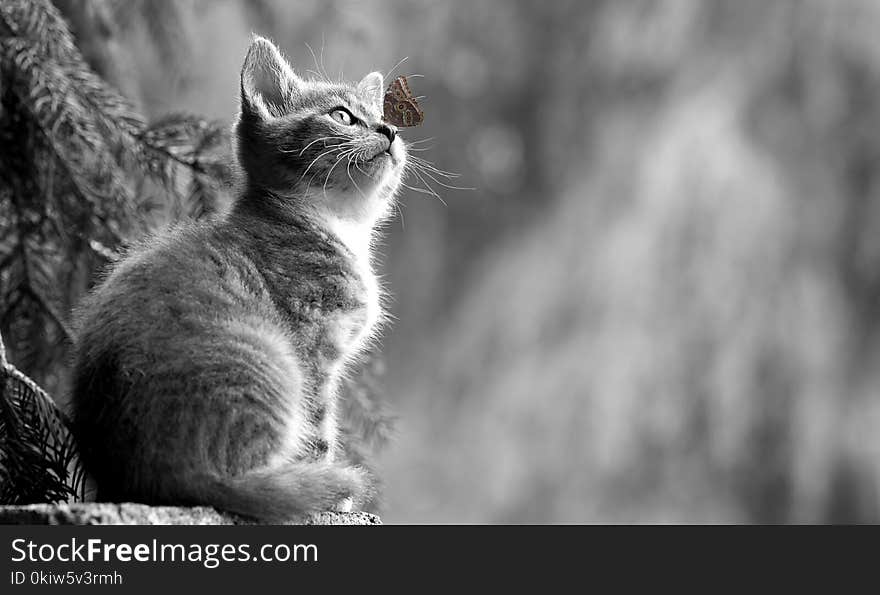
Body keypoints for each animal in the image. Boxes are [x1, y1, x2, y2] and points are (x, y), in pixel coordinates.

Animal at [70, 37, 408, 520]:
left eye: (384, 116)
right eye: (342, 116)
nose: (390, 131)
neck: (330, 222)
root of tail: (158, 476)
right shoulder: (314, 346)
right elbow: (319, 428)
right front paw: (333, 495)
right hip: (273, 361)